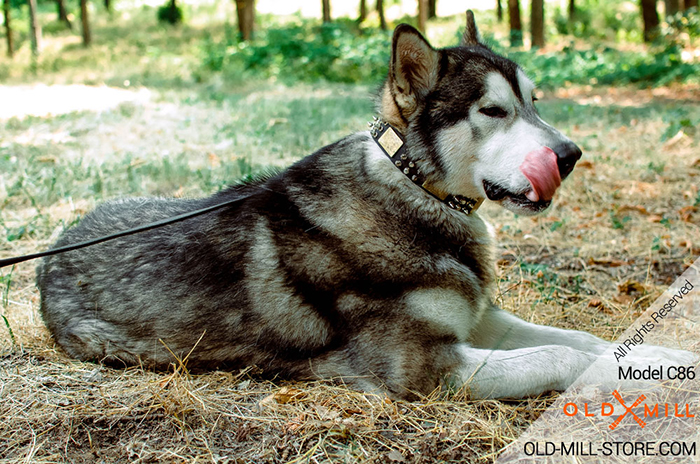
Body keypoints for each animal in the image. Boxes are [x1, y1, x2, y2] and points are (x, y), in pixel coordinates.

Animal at [35, 12, 692, 400]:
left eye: (535, 102)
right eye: (493, 111)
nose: (571, 154)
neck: (414, 191)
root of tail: (49, 252)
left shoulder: (482, 320)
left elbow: (587, 340)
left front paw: (666, 357)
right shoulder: (424, 368)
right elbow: (562, 354)